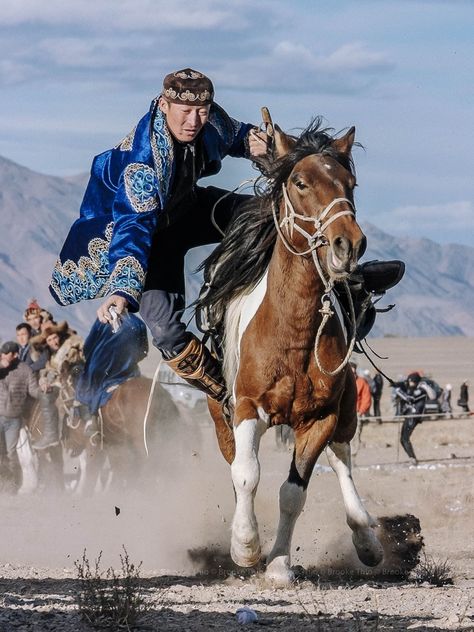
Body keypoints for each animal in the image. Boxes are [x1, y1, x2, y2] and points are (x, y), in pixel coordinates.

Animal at [201, 116, 386, 584]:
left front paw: (279, 563)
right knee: (237, 467)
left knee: (342, 458)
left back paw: (367, 539)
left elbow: (293, 492)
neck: (291, 335)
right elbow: (246, 476)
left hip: (346, 408)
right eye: (300, 182)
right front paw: (246, 547)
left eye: (351, 184)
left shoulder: (320, 418)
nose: (347, 244)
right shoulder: (246, 407)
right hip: (220, 417)